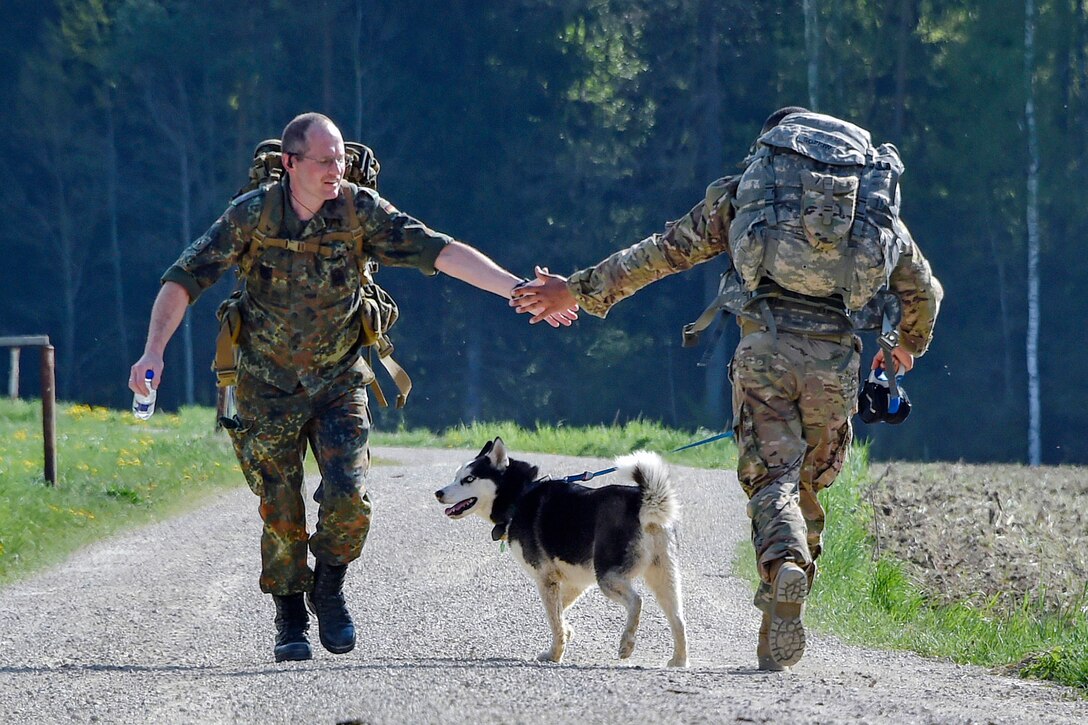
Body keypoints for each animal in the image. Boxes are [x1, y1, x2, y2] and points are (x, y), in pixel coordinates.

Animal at [435, 435, 683, 666]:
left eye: (469, 479)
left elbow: (554, 619)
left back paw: (627, 643)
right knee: (679, 619)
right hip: (665, 578)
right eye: (456, 476)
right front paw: (567, 631)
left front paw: (554, 654)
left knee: (637, 601)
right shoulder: (576, 581)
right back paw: (680, 661)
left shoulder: (546, 579)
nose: (438, 493)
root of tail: (643, 501)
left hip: (608, 577)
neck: (520, 496)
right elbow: (560, 613)